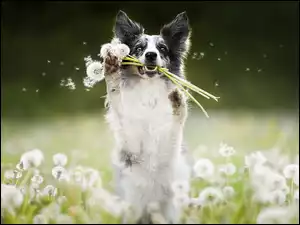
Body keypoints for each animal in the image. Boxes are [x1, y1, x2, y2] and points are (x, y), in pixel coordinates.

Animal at [101, 10, 192, 223]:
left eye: (162, 48)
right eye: (139, 48)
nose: (151, 55)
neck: (149, 92)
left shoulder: (170, 144)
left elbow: (178, 117)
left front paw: (178, 98)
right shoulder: (131, 140)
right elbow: (116, 95)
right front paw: (111, 69)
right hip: (132, 209)